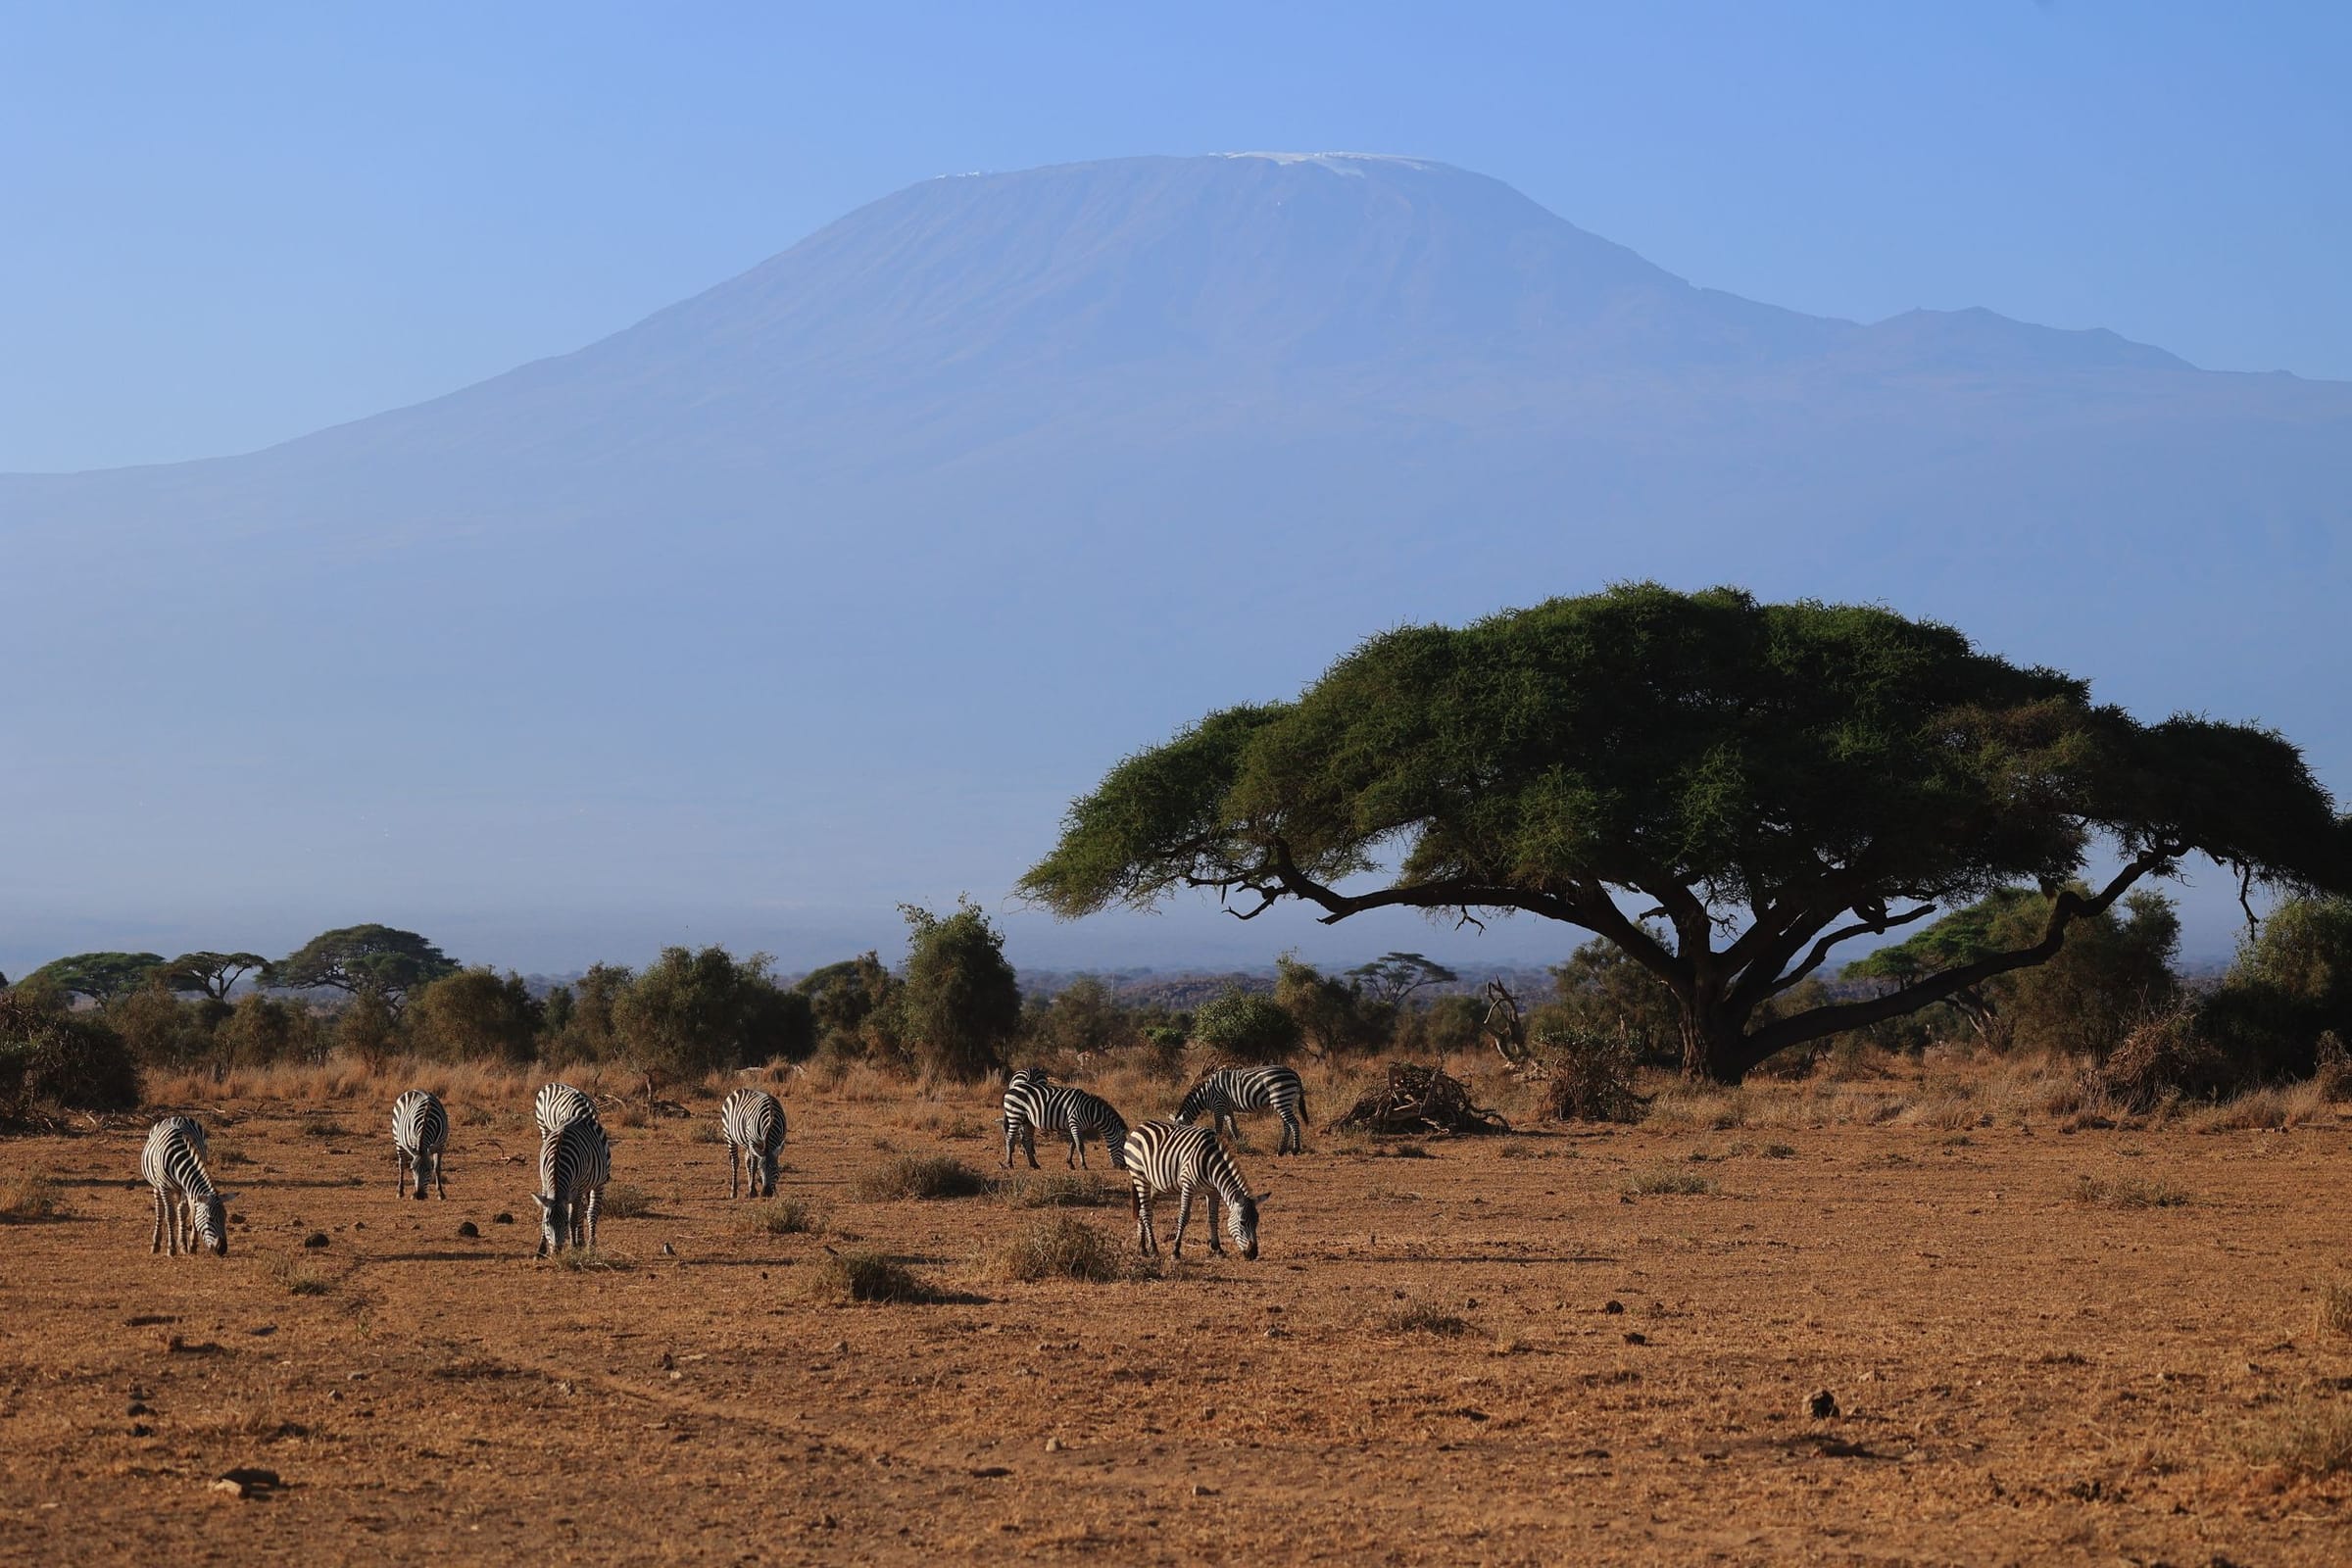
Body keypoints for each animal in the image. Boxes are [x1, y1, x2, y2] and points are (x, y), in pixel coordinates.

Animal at [141, 1115, 235, 1257]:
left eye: (225, 1218)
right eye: (210, 1219)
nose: (222, 1249)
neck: (179, 1160)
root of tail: (177, 1116)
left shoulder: (187, 1187)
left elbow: (185, 1212)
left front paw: (186, 1245)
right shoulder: (164, 1187)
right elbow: (170, 1215)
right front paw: (171, 1248)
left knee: (186, 1209)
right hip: (156, 1185)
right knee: (160, 1209)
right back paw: (156, 1243)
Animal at [533, 1115, 612, 1257]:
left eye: (565, 1223)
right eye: (548, 1223)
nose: (556, 1252)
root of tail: (580, 1116)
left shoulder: (578, 1188)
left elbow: (573, 1218)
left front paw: (573, 1247)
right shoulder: (545, 1184)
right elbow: (544, 1214)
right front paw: (541, 1249)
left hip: (598, 1183)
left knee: (591, 1212)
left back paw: (590, 1245)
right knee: (581, 1212)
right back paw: (581, 1241)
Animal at [1003, 1080, 1129, 1171]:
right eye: (1121, 1147)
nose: (1123, 1167)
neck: (1090, 1111)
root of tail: (1010, 1090)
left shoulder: (1075, 1126)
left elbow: (1073, 1145)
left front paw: (1070, 1163)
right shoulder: (1074, 1123)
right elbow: (1080, 1146)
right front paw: (1084, 1165)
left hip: (1027, 1121)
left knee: (1026, 1141)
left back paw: (1034, 1164)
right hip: (1015, 1114)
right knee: (1010, 1138)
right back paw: (1009, 1164)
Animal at [1120, 1120, 1266, 1260]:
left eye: (1257, 1222)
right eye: (1242, 1222)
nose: (1253, 1254)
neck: (1211, 1163)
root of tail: (1139, 1127)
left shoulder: (1213, 1191)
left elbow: (1213, 1217)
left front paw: (1218, 1249)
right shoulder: (1188, 1186)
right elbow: (1184, 1217)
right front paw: (1176, 1251)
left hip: (1155, 1184)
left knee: (1143, 1209)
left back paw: (1142, 1248)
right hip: (1139, 1175)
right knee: (1146, 1212)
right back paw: (1154, 1249)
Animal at [1176, 1065, 1310, 1155]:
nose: (1181, 1149)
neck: (1206, 1095)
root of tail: (1292, 1071)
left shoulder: (1219, 1105)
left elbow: (1218, 1128)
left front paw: (1217, 1147)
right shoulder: (1227, 1108)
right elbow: (1233, 1127)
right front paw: (1240, 1145)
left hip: (1281, 1098)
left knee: (1294, 1123)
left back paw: (1295, 1150)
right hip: (1285, 1101)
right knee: (1287, 1125)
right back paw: (1281, 1151)